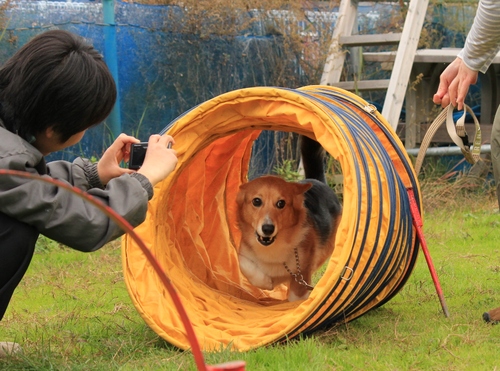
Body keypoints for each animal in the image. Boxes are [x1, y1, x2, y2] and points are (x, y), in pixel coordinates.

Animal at [236, 137, 342, 302]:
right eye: (256, 201)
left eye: (281, 203)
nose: (268, 229)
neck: (273, 246)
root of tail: (318, 181)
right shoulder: (245, 253)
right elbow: (246, 267)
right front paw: (266, 282)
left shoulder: (302, 271)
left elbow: (296, 294)